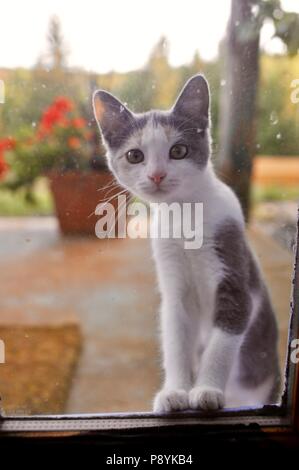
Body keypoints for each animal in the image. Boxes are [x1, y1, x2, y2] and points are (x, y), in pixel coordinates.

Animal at [93, 74, 282, 412]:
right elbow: (176, 341)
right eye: (134, 155)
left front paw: (206, 391)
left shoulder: (234, 274)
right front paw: (175, 392)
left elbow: (222, 343)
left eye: (178, 150)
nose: (156, 175)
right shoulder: (174, 287)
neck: (184, 217)